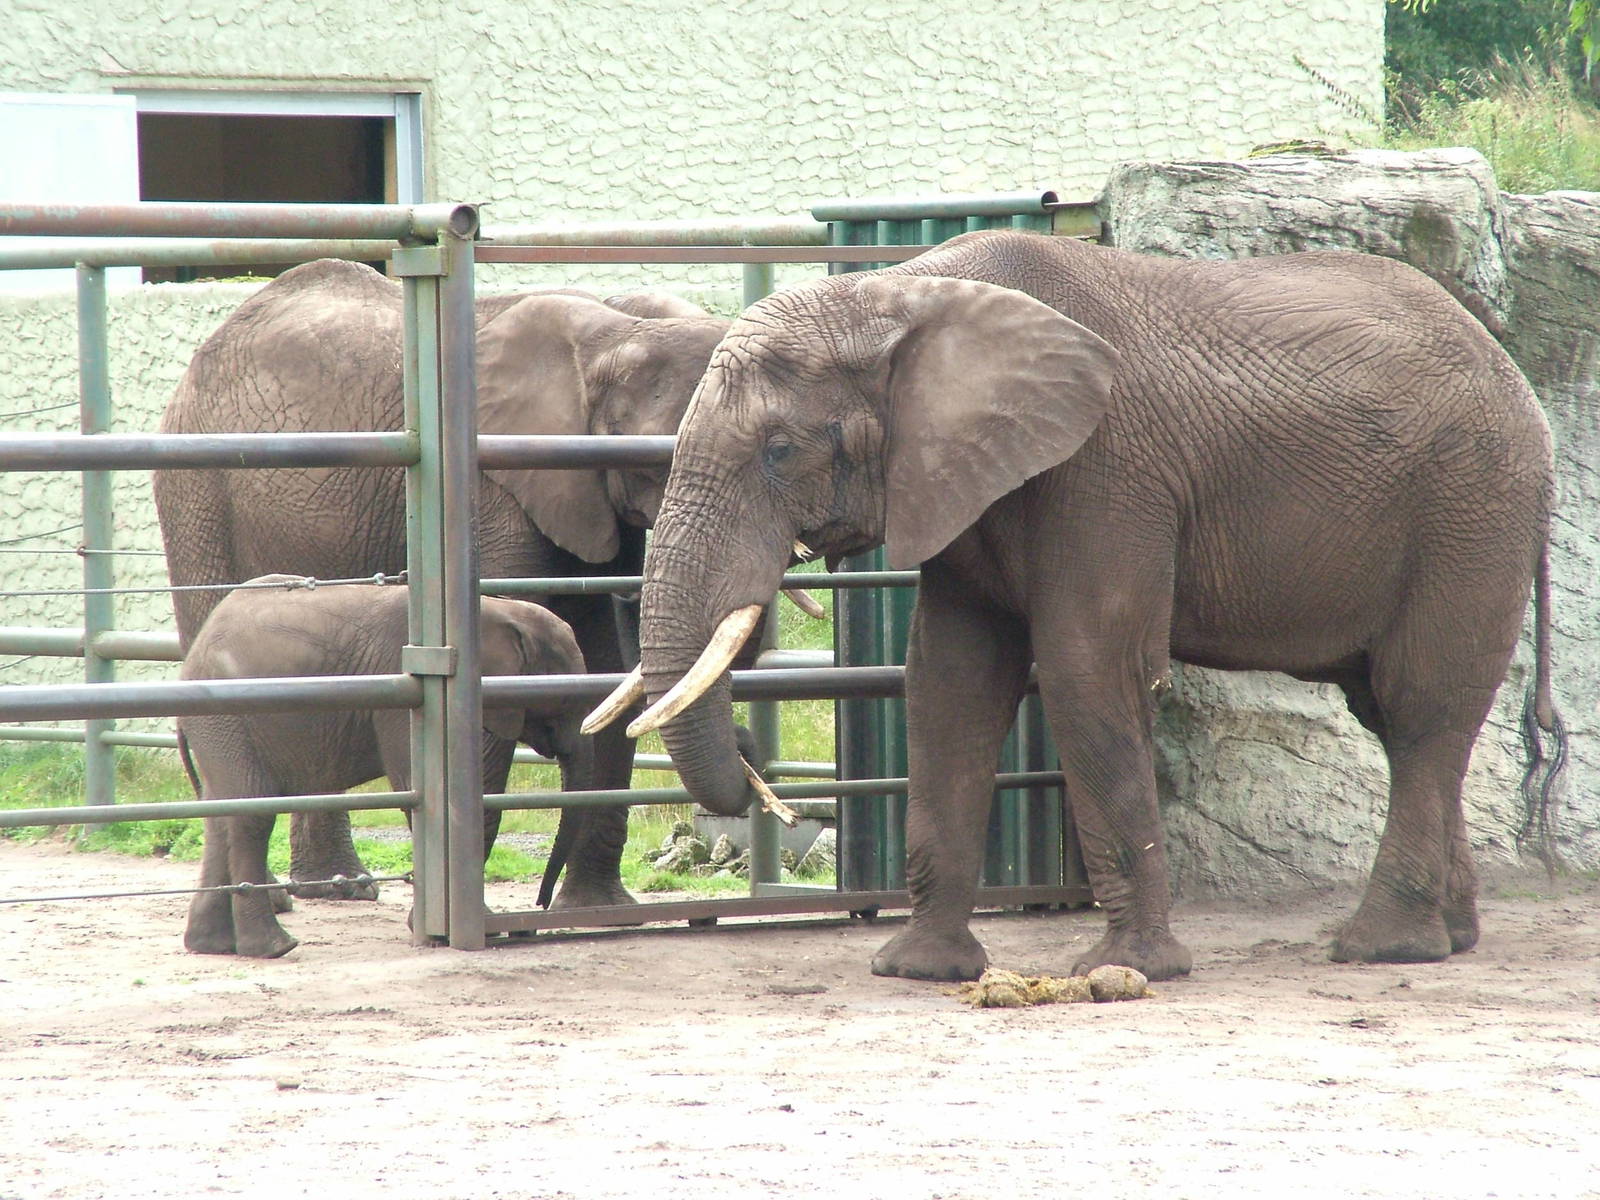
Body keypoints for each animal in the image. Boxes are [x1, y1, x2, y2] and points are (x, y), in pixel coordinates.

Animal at [154, 258, 729, 909]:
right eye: (664, 461)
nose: (539, 900)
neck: (619, 331)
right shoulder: (492, 484)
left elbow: (605, 662)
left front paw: (597, 910)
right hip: (199, 493)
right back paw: (287, 896)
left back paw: (336, 888)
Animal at [179, 577, 590, 957]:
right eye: (563, 695)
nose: (538, 909)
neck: (497, 610)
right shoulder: (409, 695)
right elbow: (423, 785)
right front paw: (480, 929)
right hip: (227, 718)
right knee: (252, 813)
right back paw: (275, 947)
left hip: (219, 727)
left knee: (222, 813)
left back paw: (211, 945)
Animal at [603, 228, 1562, 983]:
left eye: (777, 450)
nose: (749, 760)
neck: (900, 293)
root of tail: (1525, 390)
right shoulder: (964, 479)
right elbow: (948, 683)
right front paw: (919, 971)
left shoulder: (1105, 468)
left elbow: (1087, 672)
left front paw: (1130, 971)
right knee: (1396, 718)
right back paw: (1453, 938)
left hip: (1469, 511)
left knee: (1418, 709)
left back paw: (1379, 948)